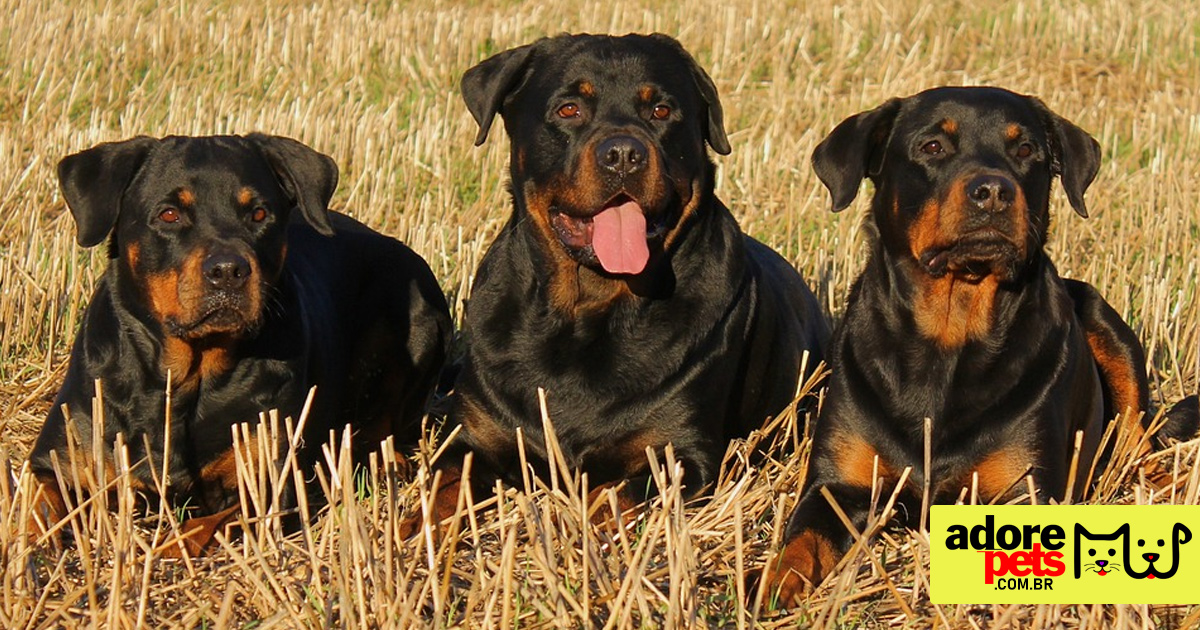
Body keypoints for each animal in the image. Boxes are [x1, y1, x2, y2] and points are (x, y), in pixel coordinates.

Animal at [28, 133, 451, 554]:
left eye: (259, 214)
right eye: (169, 214)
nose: (228, 270)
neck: (186, 375)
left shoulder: (268, 484)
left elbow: (200, 527)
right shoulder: (61, 458)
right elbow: (36, 505)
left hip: (420, 314)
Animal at [398, 30, 830, 530]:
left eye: (661, 111)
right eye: (569, 109)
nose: (624, 153)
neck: (587, 309)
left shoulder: (682, 455)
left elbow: (610, 494)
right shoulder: (473, 436)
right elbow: (443, 489)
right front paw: (414, 530)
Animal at [758, 87, 1200, 604]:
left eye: (1026, 149)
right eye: (932, 147)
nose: (993, 190)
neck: (949, 335)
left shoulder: (1025, 491)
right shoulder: (836, 484)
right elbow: (800, 544)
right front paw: (770, 587)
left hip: (1107, 327)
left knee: (1138, 440)